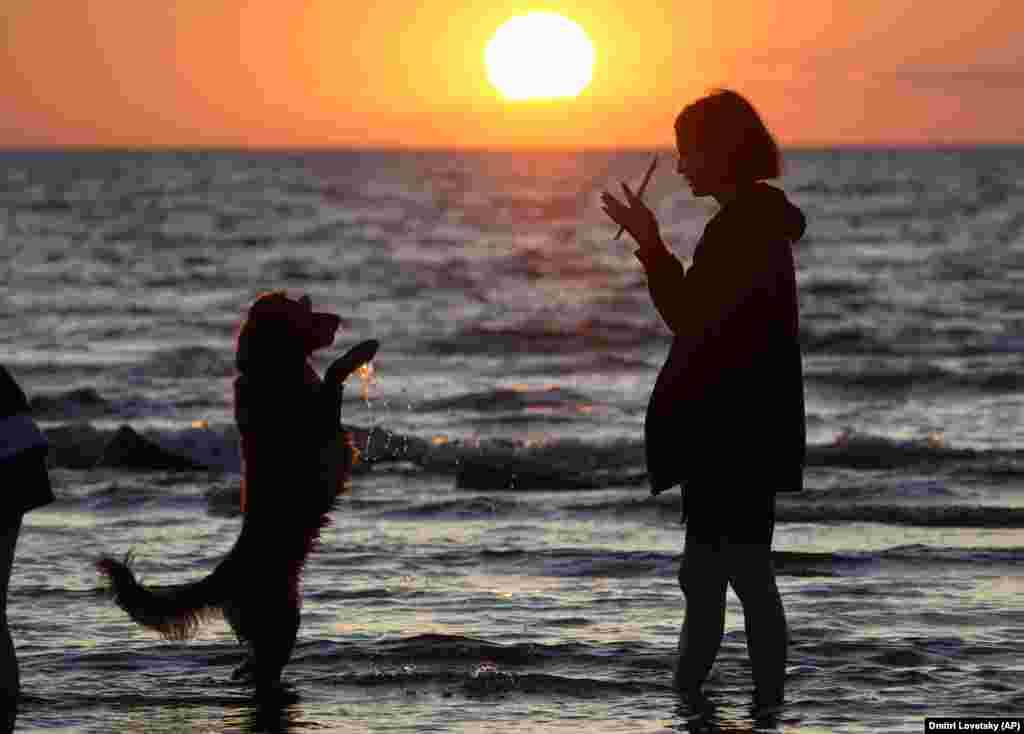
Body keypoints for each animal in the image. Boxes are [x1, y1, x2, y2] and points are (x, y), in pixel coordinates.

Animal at [97, 290, 380, 687]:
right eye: (305, 312)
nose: (338, 318)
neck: (273, 367)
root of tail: (227, 572)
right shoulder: (319, 415)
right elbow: (333, 373)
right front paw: (361, 351)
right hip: (278, 619)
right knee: (264, 664)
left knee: (251, 663)